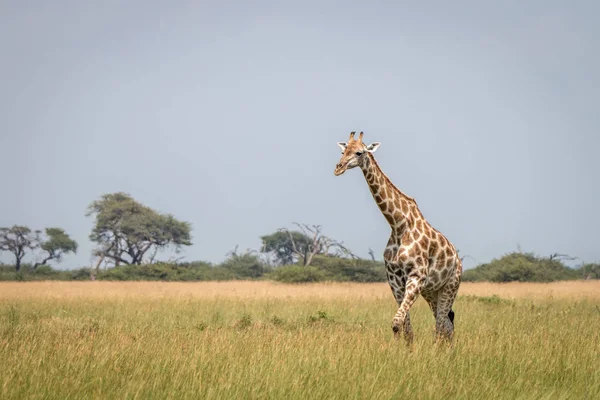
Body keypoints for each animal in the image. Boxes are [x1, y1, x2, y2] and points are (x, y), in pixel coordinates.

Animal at [336, 131, 462, 344]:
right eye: (343, 151)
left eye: (360, 152)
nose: (339, 167)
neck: (398, 225)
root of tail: (458, 259)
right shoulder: (395, 281)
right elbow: (404, 328)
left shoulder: (416, 277)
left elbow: (397, 323)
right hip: (432, 291)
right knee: (446, 324)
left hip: (450, 286)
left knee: (441, 325)